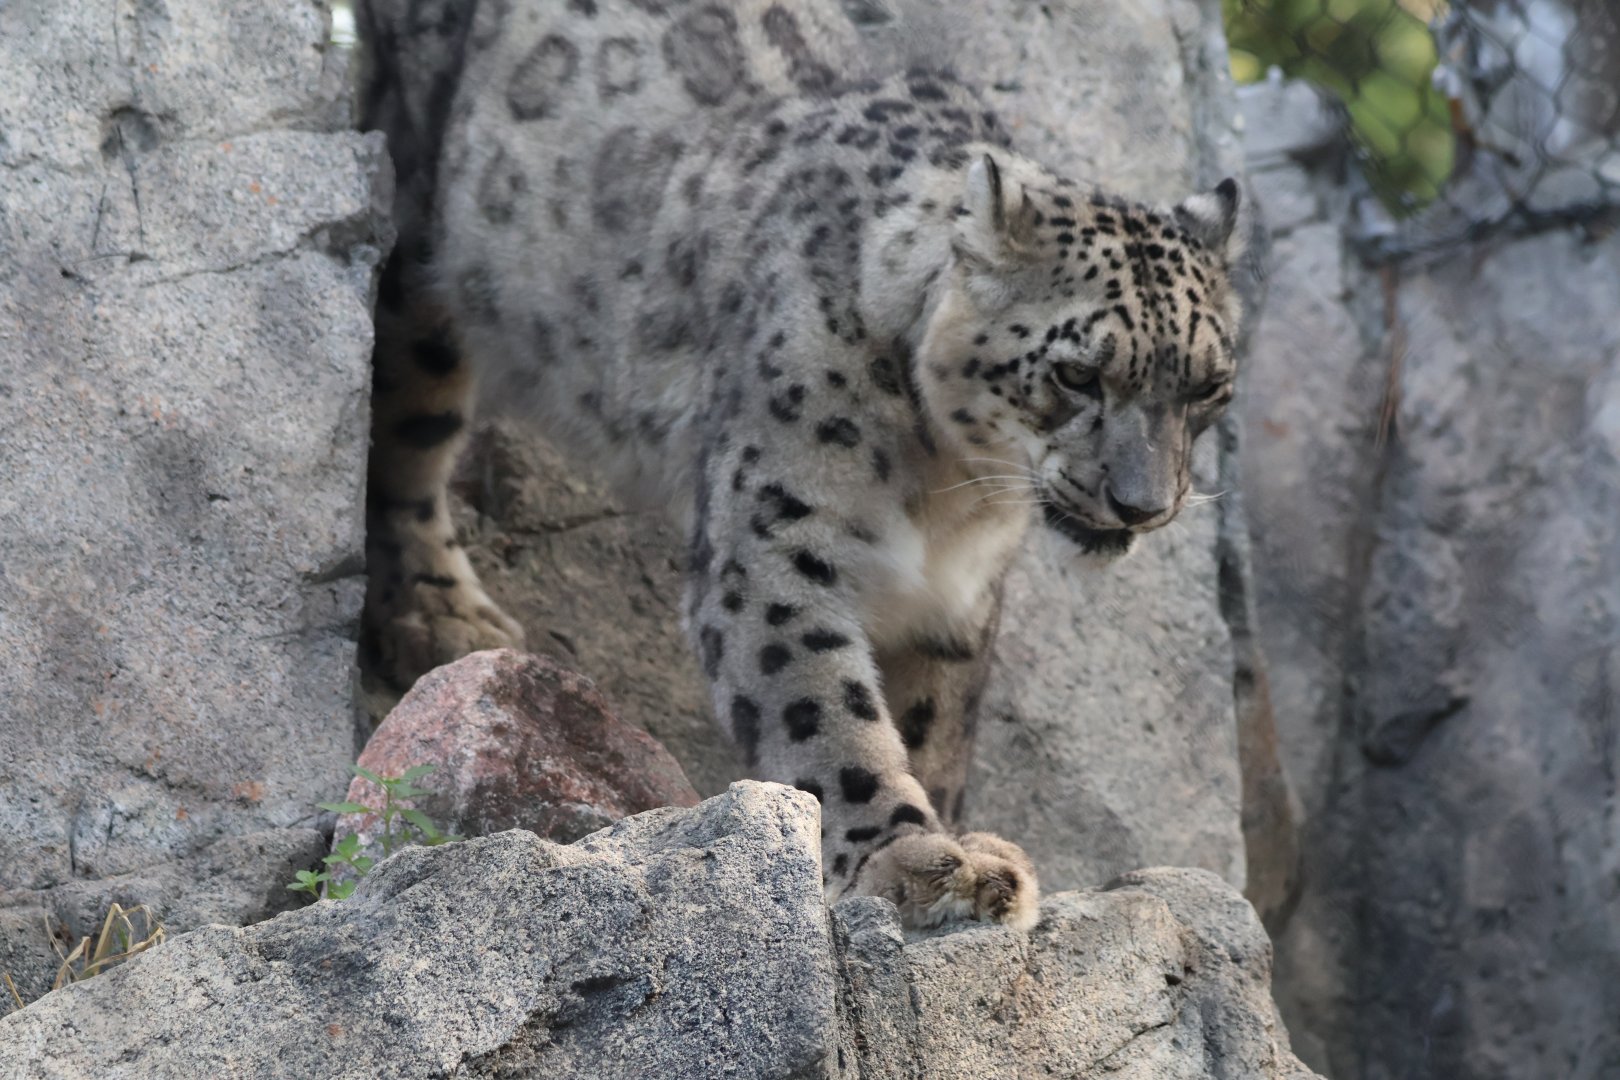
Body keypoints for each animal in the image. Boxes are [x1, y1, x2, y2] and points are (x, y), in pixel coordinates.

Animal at [356, 0, 1245, 932]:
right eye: (1077, 374)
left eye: (1208, 387)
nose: (1144, 504)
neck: (948, 487)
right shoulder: (776, 532)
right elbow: (823, 702)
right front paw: (910, 858)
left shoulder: (956, 597)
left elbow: (931, 721)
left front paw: (961, 847)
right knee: (404, 415)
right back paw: (438, 612)